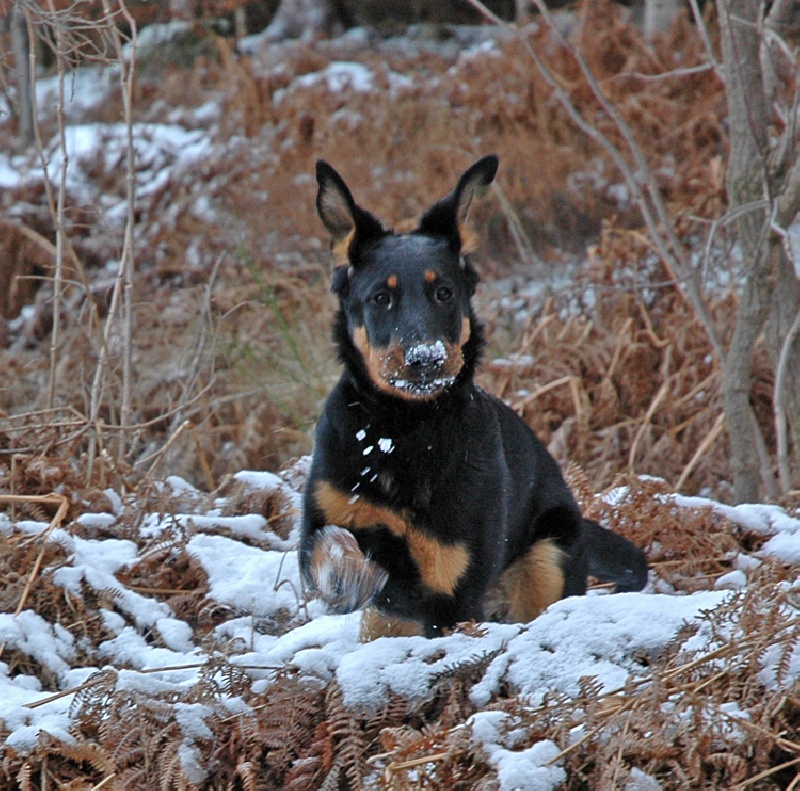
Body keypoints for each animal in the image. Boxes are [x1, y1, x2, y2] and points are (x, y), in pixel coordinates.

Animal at [296, 156, 648, 644]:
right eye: (381, 298)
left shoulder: (449, 581)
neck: (401, 428)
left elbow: (406, 599)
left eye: (444, 292)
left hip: (550, 554)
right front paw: (348, 574)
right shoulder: (327, 514)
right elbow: (331, 546)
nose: (425, 358)